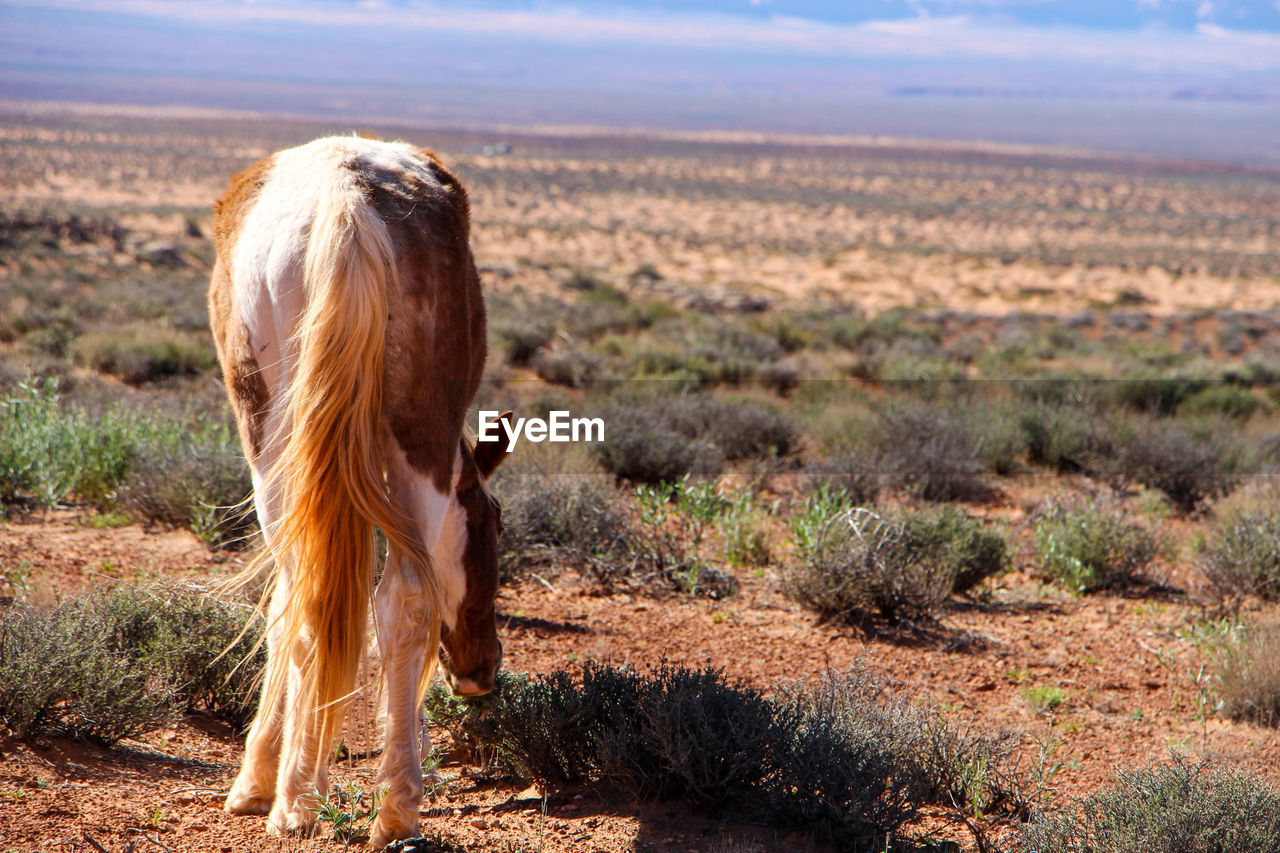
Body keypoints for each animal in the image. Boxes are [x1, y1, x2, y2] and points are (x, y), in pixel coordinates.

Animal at [207, 136, 506, 840]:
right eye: (496, 522)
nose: (482, 671)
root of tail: (348, 200)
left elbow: (284, 608)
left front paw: (259, 779)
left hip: (275, 441)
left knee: (317, 596)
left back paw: (297, 799)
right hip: (414, 436)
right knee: (398, 603)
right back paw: (392, 808)